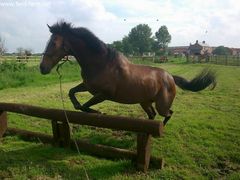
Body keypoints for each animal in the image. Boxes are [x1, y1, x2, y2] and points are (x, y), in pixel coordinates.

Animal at [40, 21, 217, 125]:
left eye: (54, 43)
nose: (42, 68)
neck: (101, 63)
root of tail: (170, 77)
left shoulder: (104, 94)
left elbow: (85, 106)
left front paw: (99, 112)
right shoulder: (88, 86)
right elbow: (72, 94)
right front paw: (83, 106)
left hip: (162, 104)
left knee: (167, 113)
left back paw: (160, 129)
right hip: (145, 102)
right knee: (153, 115)